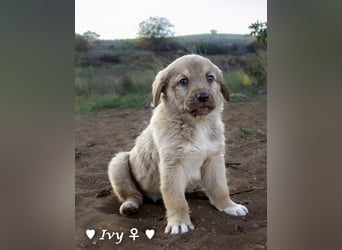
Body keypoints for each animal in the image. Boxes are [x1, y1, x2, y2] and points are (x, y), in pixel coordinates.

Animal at [108, 54, 247, 234]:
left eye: (210, 78)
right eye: (183, 81)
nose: (203, 96)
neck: (197, 123)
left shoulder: (214, 158)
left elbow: (220, 187)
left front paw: (229, 206)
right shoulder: (172, 164)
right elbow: (176, 198)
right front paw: (179, 222)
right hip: (118, 163)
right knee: (134, 195)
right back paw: (130, 205)